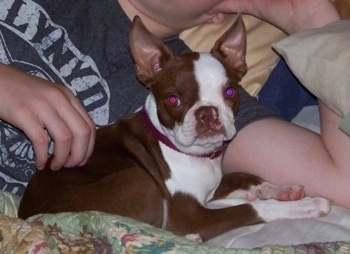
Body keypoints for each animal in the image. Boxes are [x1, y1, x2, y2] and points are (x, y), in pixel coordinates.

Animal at [18, 15, 330, 242]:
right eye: (173, 99)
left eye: (229, 91)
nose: (206, 113)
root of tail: (27, 214)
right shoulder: (189, 215)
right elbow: (250, 207)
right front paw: (302, 206)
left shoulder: (211, 186)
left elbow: (241, 177)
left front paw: (281, 189)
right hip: (139, 179)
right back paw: (193, 238)